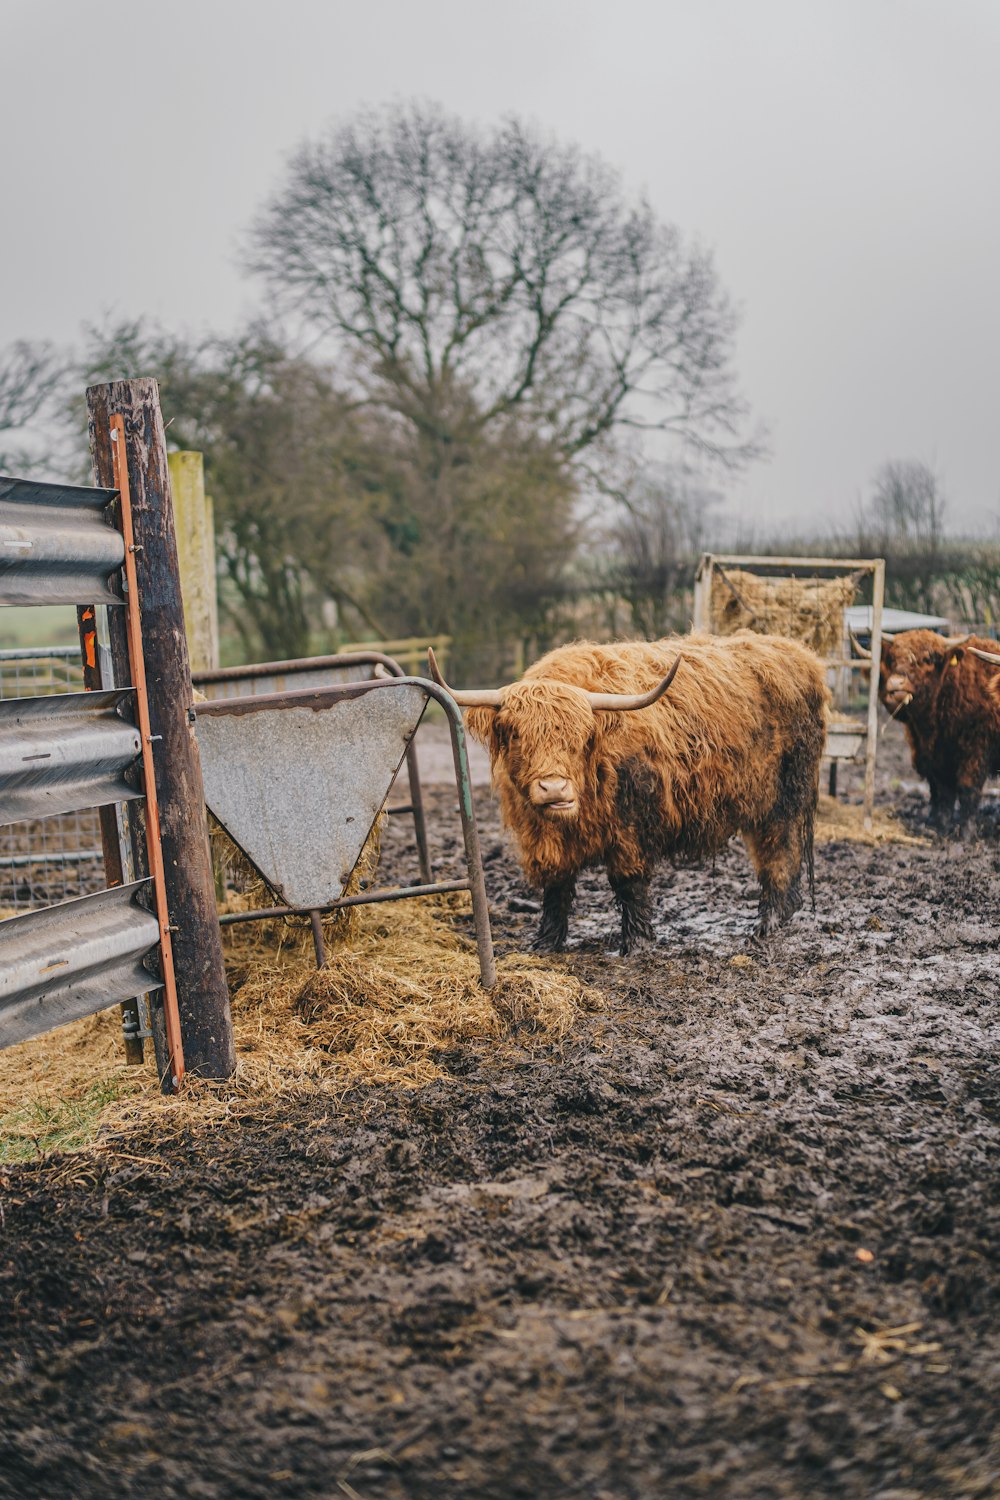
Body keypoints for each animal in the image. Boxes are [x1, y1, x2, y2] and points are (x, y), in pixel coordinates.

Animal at [431, 636, 827, 960]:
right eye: (515, 734)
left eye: (581, 737)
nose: (554, 788)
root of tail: (800, 656)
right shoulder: (542, 839)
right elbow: (556, 888)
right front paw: (545, 943)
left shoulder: (630, 830)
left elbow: (629, 886)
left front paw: (635, 945)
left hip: (782, 801)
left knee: (778, 854)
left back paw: (768, 922)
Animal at [851, 621, 1000, 834]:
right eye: (893, 659)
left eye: (928, 658)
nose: (896, 684)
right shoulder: (932, 754)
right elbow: (941, 789)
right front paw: (939, 826)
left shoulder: (976, 749)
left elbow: (967, 789)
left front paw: (966, 832)